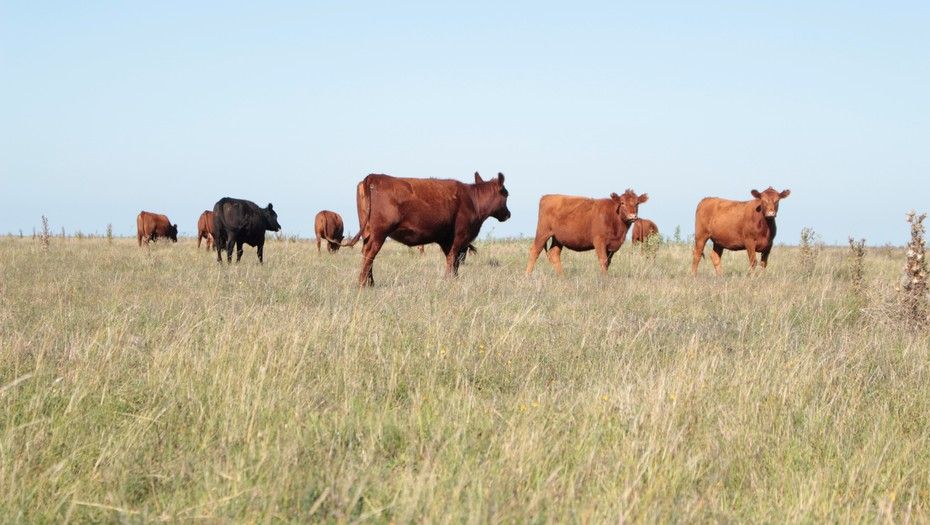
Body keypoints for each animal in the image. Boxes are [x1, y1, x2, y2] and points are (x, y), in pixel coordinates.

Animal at [346, 172, 512, 286]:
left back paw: (370, 282)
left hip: (368, 232)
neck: (472, 200)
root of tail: (374, 177)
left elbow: (453, 260)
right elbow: (453, 258)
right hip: (379, 233)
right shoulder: (460, 236)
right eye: (506, 194)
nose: (508, 214)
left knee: (366, 253)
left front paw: (454, 278)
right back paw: (363, 283)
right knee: (370, 254)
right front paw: (449, 280)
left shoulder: (446, 239)